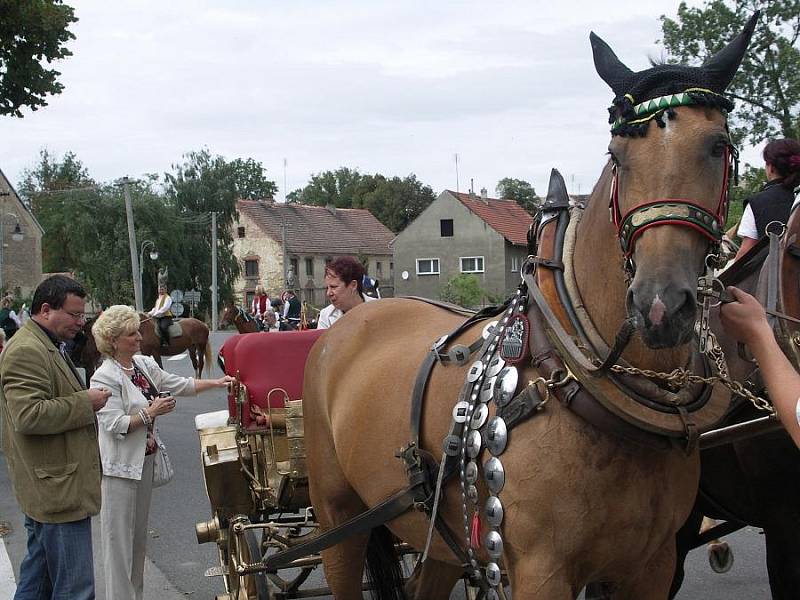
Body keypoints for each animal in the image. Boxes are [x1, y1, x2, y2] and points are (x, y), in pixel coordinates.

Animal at [302, 14, 756, 600]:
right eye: (617, 156)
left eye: (718, 145)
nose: (660, 306)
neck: (582, 382)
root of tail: (345, 326)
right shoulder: (542, 572)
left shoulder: (651, 566)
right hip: (338, 518)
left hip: (435, 536)